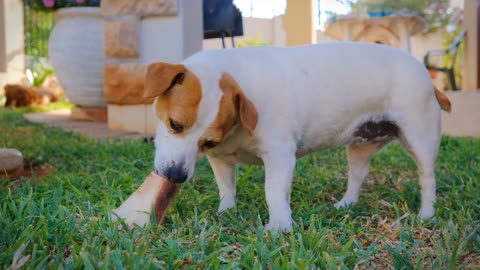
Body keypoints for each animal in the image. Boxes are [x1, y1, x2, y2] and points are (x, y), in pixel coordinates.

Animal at [115, 43, 450, 231]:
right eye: (175, 125)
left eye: (204, 141)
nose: (175, 176)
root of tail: (423, 71)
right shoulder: (221, 158)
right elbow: (226, 188)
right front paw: (226, 211)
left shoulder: (279, 155)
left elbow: (274, 192)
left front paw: (278, 225)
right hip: (360, 146)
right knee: (357, 174)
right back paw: (346, 203)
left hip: (420, 139)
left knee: (427, 178)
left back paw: (427, 213)